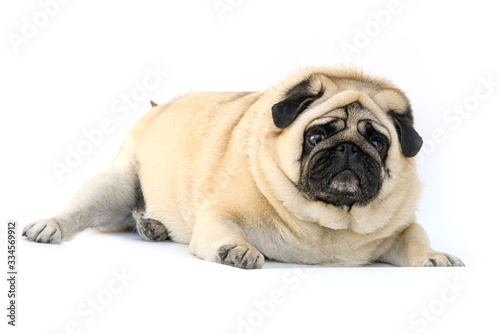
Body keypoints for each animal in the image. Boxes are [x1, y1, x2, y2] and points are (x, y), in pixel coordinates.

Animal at [21, 66, 462, 268]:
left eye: (377, 142)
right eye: (317, 136)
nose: (349, 151)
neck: (329, 221)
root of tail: (158, 108)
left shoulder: (400, 229)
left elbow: (415, 238)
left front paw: (433, 255)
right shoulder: (218, 215)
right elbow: (224, 231)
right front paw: (238, 248)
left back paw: (153, 227)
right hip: (113, 185)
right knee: (80, 212)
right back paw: (49, 227)